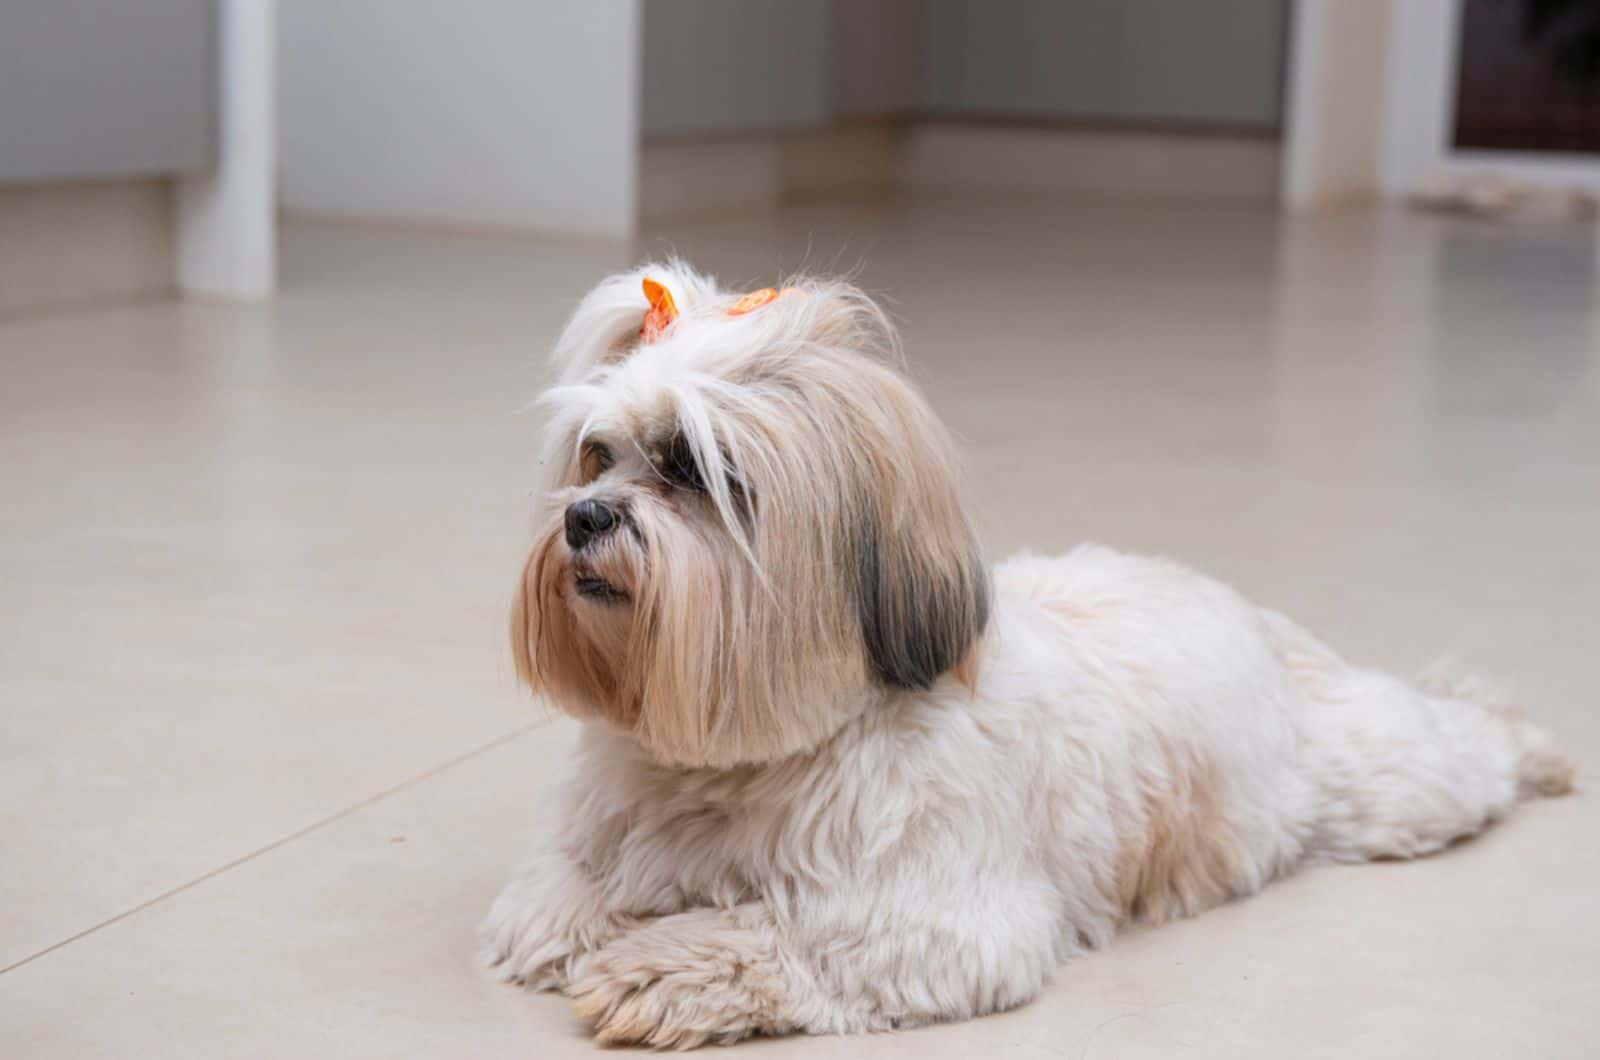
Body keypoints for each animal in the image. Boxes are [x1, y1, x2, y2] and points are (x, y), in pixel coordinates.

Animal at [476, 264, 1574, 1043]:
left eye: (694, 469)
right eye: (597, 455)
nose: (584, 516)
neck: (749, 759)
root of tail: (1255, 615)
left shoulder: (939, 923)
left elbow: (781, 930)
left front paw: (659, 965)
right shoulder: (609, 829)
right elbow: (560, 887)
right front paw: (578, 916)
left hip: (1386, 783)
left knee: (1467, 740)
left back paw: (1533, 750)